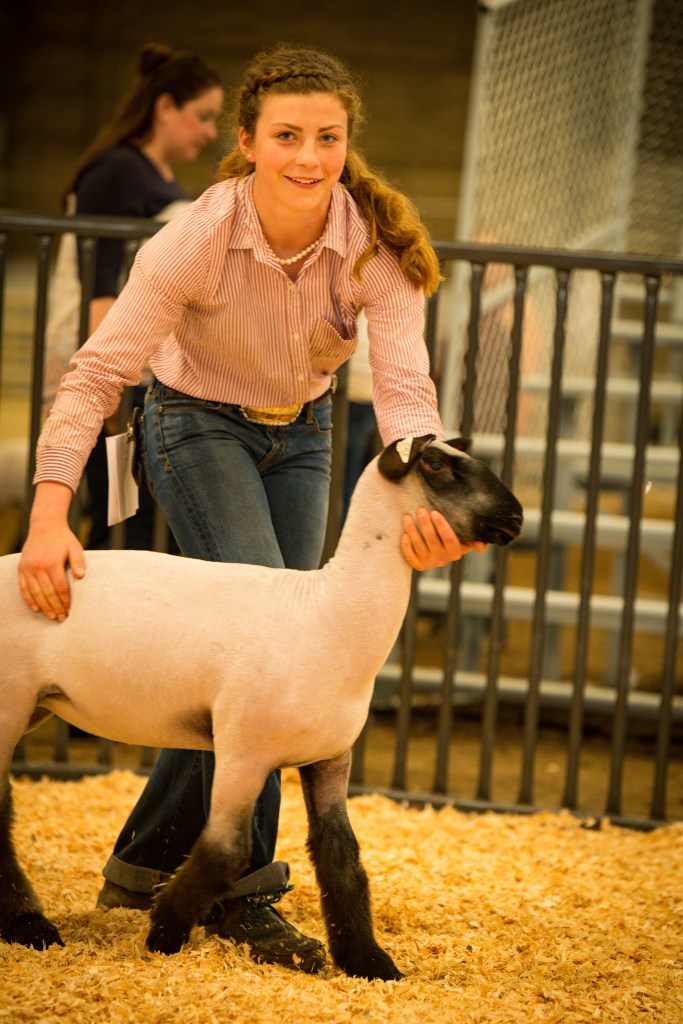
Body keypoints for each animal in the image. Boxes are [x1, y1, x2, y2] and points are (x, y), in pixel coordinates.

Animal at [0, 435, 523, 980]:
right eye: (438, 465)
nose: (517, 516)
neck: (328, 614)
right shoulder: (242, 752)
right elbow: (225, 851)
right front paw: (164, 932)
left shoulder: (331, 757)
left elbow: (342, 856)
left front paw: (369, 960)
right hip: (9, 705)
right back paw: (30, 927)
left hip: (35, 706)